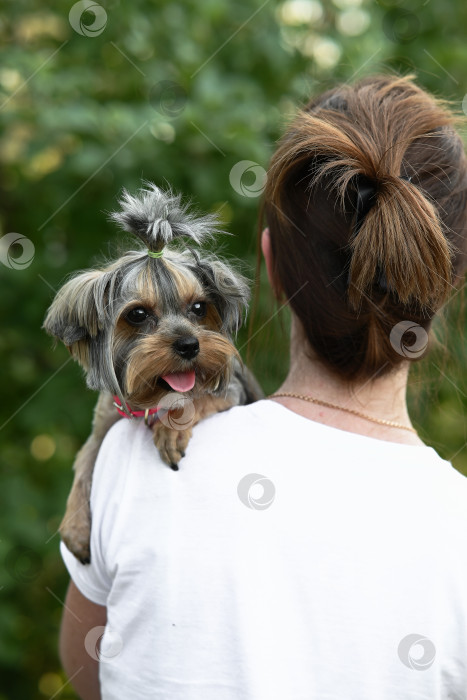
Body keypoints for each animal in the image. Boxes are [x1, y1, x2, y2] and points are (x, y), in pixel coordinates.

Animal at [44, 185, 264, 564]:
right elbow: (85, 457)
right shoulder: (105, 421)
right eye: (137, 314)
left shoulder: (231, 393)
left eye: (199, 308)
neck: (151, 402)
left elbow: (200, 399)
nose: (190, 345)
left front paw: (171, 427)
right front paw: (74, 526)